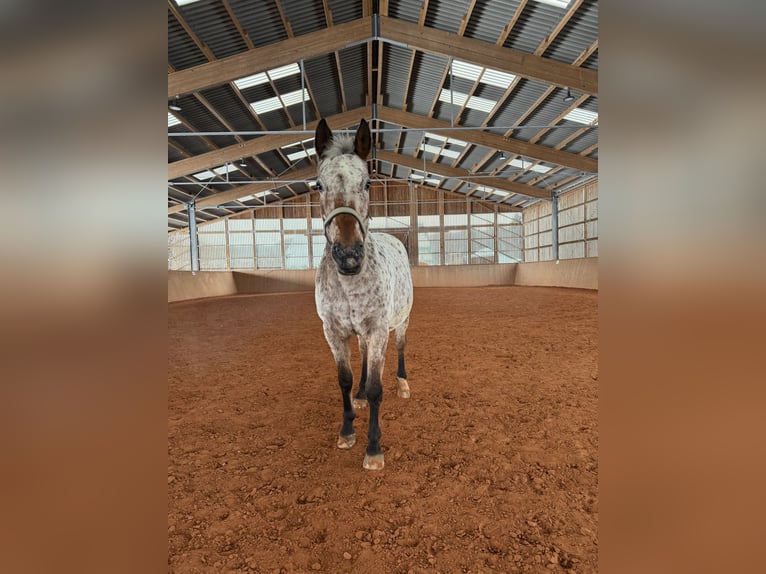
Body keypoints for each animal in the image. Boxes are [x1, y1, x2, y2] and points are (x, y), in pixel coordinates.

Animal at [313, 118, 414, 470]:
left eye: (368, 183)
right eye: (319, 185)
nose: (348, 256)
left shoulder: (378, 329)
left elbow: (375, 388)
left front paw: (373, 448)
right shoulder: (334, 331)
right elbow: (344, 379)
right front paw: (346, 431)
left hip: (401, 322)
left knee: (399, 350)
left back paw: (403, 384)